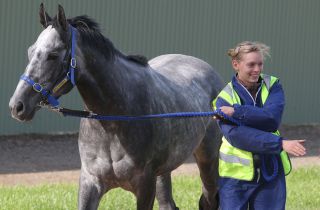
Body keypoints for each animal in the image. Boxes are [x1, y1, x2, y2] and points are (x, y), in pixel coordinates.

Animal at [8, 3, 224, 210]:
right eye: (30, 51)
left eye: (52, 55)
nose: (17, 106)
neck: (114, 120)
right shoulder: (90, 183)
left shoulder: (145, 186)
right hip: (164, 172)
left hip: (208, 162)